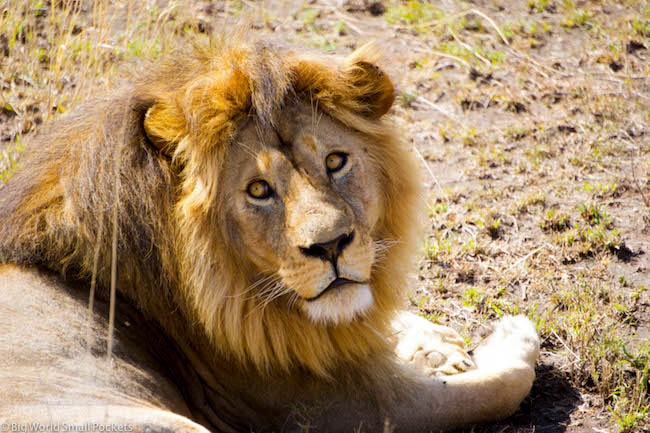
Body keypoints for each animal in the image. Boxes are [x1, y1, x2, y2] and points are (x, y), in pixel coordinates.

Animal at [0, 34, 536, 432]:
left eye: (335, 161)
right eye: (259, 190)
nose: (330, 246)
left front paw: (434, 342)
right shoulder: (357, 407)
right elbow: (503, 386)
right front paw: (510, 335)